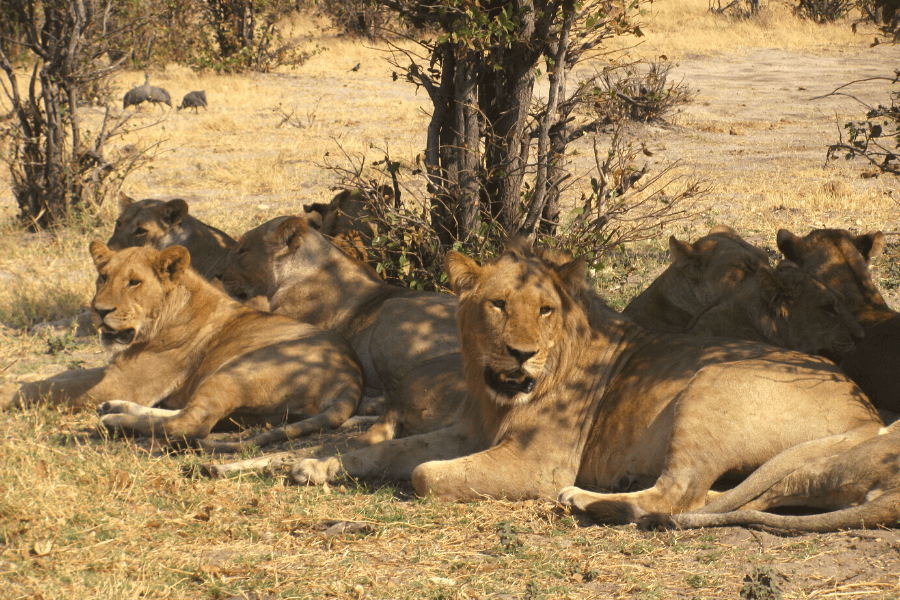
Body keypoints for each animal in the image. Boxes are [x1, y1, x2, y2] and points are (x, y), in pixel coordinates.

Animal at [53, 241, 364, 446]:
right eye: (103, 277)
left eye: (134, 283)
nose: (99, 310)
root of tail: (351, 379)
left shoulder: (124, 381)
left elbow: (58, 389)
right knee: (189, 413)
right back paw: (114, 409)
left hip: (237, 370)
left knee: (192, 424)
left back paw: (115, 423)